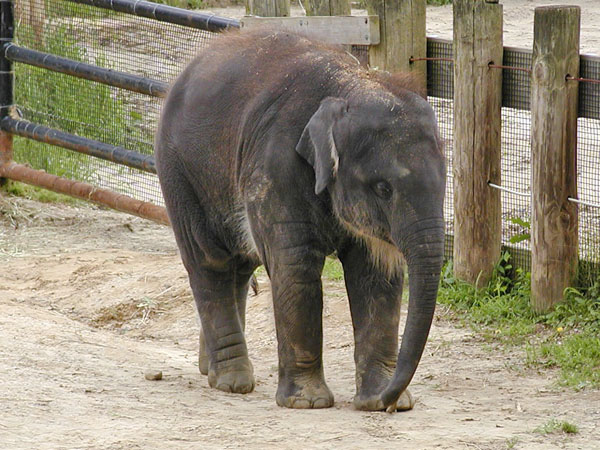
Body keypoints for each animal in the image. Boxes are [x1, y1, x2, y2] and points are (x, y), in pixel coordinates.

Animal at [155, 30, 446, 412]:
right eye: (384, 188)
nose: (390, 401)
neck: (352, 85)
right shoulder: (275, 164)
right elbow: (296, 266)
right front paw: (308, 403)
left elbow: (376, 274)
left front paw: (375, 400)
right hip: (180, 172)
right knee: (210, 262)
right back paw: (233, 382)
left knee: (239, 264)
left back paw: (211, 370)